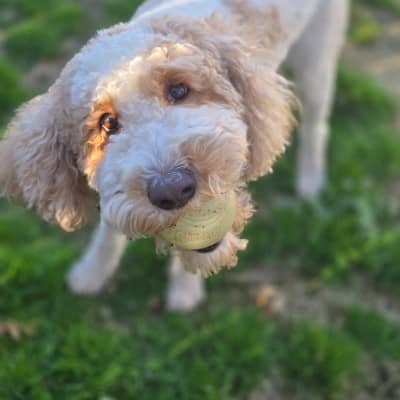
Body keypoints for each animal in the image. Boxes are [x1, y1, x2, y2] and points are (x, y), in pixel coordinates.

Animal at [0, 0, 348, 310]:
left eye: (179, 90)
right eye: (107, 123)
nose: (173, 190)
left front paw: (184, 291)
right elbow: (109, 230)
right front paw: (91, 273)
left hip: (317, 58)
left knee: (316, 125)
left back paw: (310, 181)